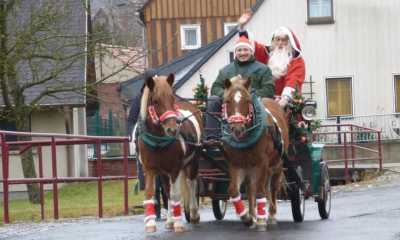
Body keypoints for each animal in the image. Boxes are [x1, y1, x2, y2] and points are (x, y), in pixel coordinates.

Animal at [137, 74, 203, 232]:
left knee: (191, 184)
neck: (158, 141)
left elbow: (175, 194)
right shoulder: (150, 169)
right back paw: (170, 220)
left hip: (193, 162)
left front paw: (178, 223)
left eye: (172, 98)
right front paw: (151, 223)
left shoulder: (175, 168)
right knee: (167, 191)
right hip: (164, 172)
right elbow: (153, 193)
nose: (172, 129)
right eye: (155, 101)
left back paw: (194, 214)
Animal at [222, 75, 288, 231]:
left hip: (277, 165)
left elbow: (260, 191)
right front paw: (246, 217)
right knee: (251, 188)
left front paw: (262, 220)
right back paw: (253, 215)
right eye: (227, 101)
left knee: (272, 188)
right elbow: (234, 190)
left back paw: (270, 215)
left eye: (247, 101)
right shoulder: (236, 165)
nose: (237, 128)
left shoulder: (262, 164)